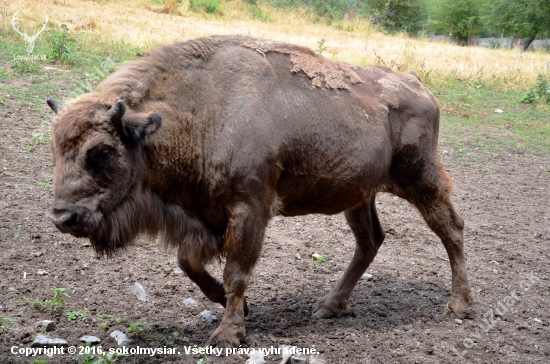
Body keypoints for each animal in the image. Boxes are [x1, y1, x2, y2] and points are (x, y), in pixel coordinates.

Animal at [47, 35, 472, 346]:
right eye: (55, 148)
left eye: (103, 151)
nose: (63, 217)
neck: (198, 111)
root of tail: (419, 85)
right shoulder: (204, 218)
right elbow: (190, 263)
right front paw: (237, 308)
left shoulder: (249, 208)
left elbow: (236, 271)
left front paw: (227, 334)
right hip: (359, 196)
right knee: (370, 242)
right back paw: (328, 306)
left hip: (421, 179)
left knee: (450, 228)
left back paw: (459, 305)